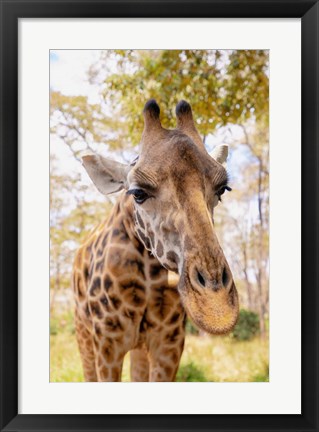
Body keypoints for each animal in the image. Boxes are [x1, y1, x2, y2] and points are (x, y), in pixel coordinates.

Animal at [74, 98, 239, 382]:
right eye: (138, 193)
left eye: (222, 189)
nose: (215, 310)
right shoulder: (107, 341)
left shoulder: (169, 341)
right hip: (83, 332)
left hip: (138, 346)